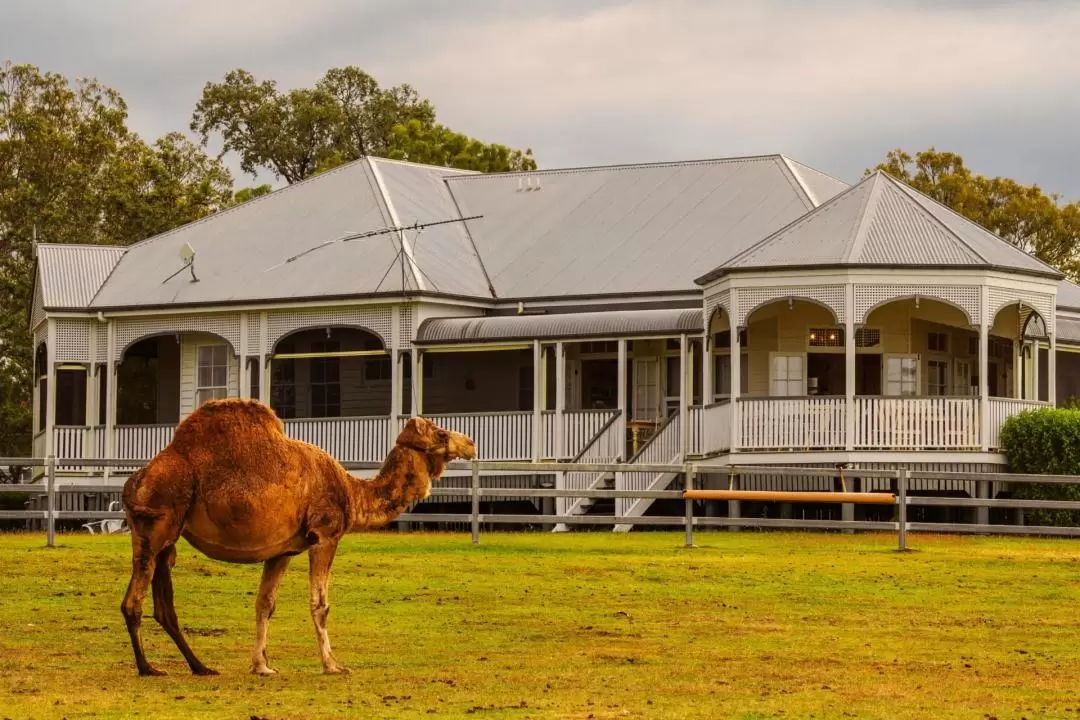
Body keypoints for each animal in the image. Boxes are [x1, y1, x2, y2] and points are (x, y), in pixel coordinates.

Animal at [119, 399, 477, 677]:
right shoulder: (325, 534)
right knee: (133, 601)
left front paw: (262, 666)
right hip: (155, 525)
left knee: (164, 606)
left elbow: (265, 603)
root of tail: (134, 481)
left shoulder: (283, 550)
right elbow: (320, 605)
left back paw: (201, 667)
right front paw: (333, 665)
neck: (351, 492)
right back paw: (148, 668)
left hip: (168, 537)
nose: (471, 442)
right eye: (441, 433)